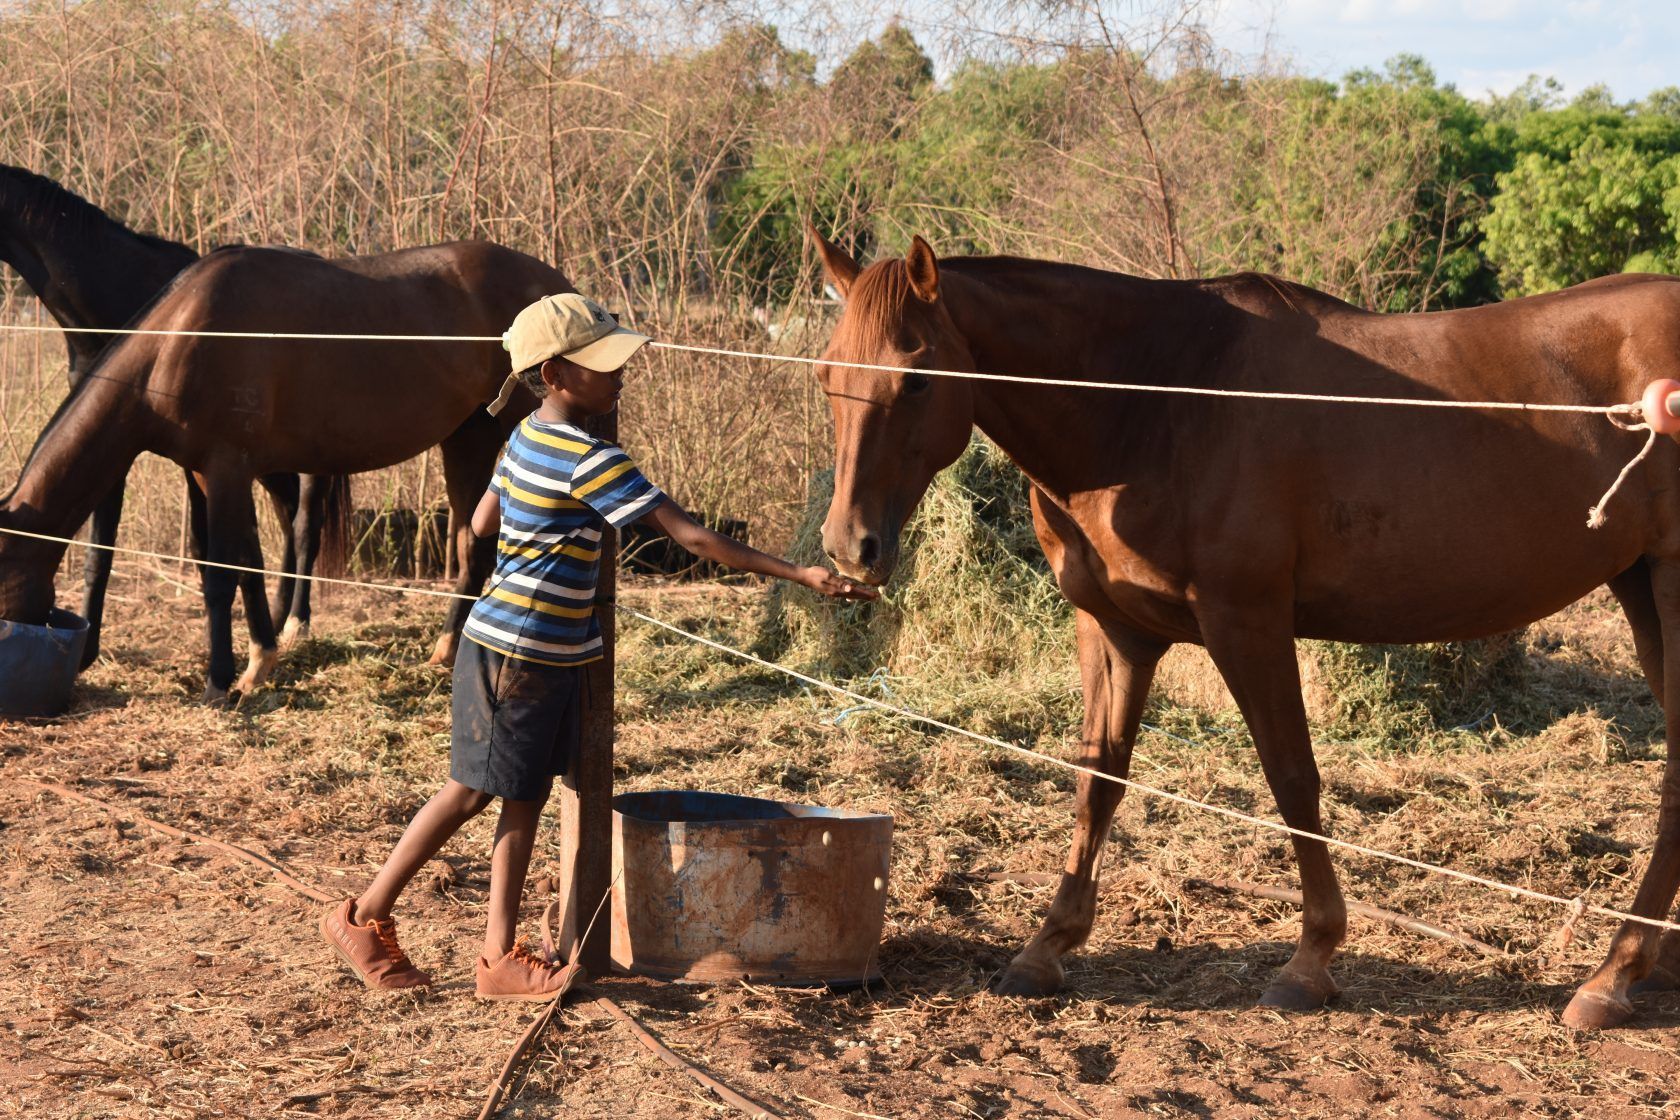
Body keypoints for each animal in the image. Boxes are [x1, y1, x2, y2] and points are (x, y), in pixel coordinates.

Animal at [0, 163, 347, 664]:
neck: (115, 293)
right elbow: (100, 551)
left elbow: (204, 549)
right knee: (288, 511)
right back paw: (280, 618)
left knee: (305, 523)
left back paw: (297, 621)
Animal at [0, 240, 546, 700]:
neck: (181, 338)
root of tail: (552, 282)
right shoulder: (215, 474)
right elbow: (247, 566)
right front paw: (259, 662)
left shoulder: (226, 467)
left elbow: (222, 574)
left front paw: (218, 682)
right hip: (465, 438)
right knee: (469, 545)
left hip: (498, 434)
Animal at [806, 225, 1680, 1030]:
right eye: (824, 372)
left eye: (918, 377)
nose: (851, 546)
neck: (1158, 399)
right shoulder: (1114, 630)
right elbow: (1098, 778)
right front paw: (1046, 947)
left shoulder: (1247, 621)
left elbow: (1292, 779)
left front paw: (1311, 961)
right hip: (1640, 586)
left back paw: (1613, 975)